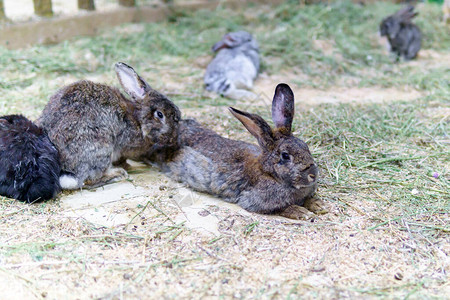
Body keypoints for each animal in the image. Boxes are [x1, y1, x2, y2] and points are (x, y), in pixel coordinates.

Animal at [37, 62, 181, 190]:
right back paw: (117, 174)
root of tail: (68, 173)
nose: (173, 138)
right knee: (88, 180)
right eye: (160, 114)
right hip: (101, 145)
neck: (138, 120)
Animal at [153, 83, 326, 219]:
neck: (269, 173)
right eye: (285, 156)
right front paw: (303, 212)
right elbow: (282, 208)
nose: (313, 175)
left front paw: (320, 205)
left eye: (305, 146)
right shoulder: (254, 201)